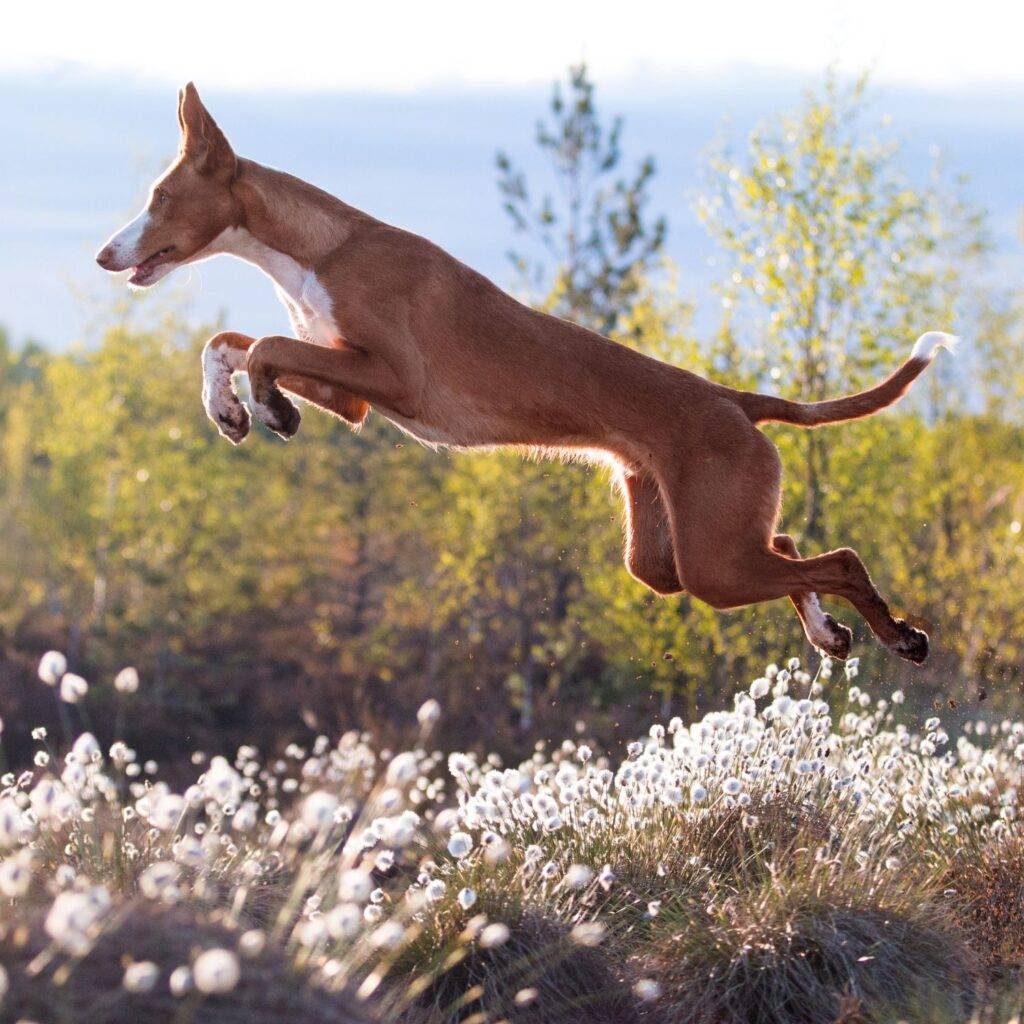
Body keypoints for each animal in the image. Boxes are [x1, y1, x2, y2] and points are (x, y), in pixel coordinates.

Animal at [97, 86, 958, 663]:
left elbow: (266, 347)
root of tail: (736, 400)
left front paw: (268, 407)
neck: (321, 251)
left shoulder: (393, 378)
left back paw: (899, 634)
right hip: (670, 556)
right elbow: (227, 342)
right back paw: (829, 629)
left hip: (710, 559)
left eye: (161, 197)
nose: (105, 254)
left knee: (838, 560)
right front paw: (232, 409)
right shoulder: (353, 392)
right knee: (786, 544)